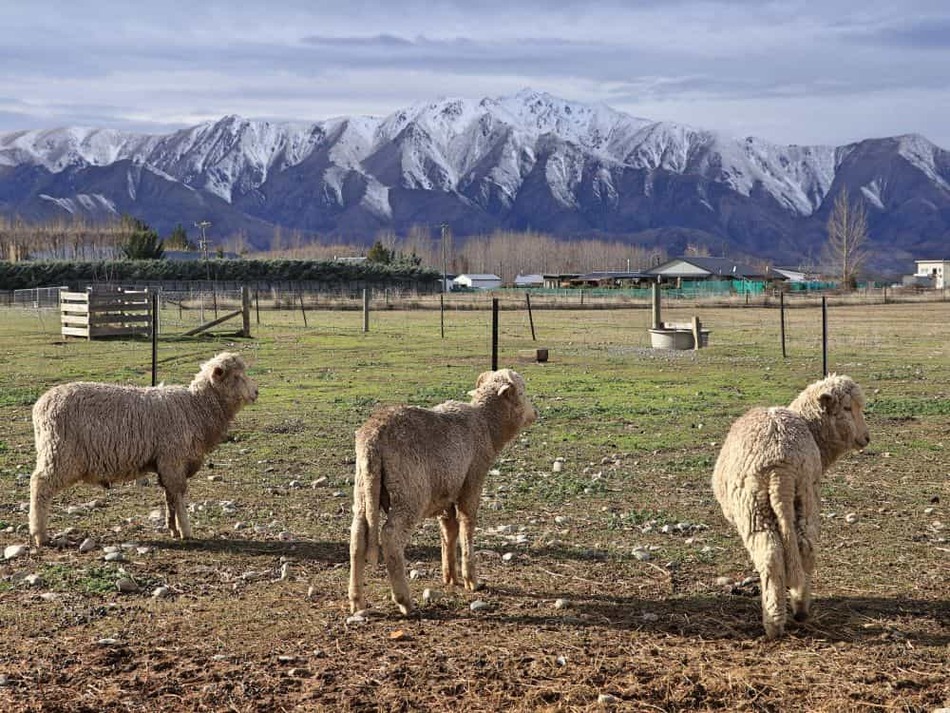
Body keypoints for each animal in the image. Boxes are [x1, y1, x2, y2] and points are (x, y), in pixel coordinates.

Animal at [30, 352, 260, 544]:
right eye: (237, 376)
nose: (257, 392)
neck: (196, 408)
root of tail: (40, 405)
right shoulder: (173, 459)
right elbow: (178, 495)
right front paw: (186, 530)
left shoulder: (166, 464)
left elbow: (169, 497)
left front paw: (172, 528)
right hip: (60, 454)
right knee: (39, 485)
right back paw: (40, 534)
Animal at [352, 368, 544, 612]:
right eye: (522, 391)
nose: (535, 413)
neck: (487, 424)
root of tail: (373, 439)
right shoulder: (472, 480)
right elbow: (467, 524)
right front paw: (471, 579)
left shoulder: (446, 491)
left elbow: (449, 530)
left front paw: (450, 576)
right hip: (409, 493)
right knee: (390, 537)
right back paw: (404, 600)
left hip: (364, 489)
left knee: (357, 536)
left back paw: (356, 601)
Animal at [712, 372, 872, 640]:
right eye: (848, 408)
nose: (867, 438)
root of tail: (781, 463)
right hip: (806, 494)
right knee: (806, 545)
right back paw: (801, 607)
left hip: (753, 507)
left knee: (770, 553)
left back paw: (773, 621)